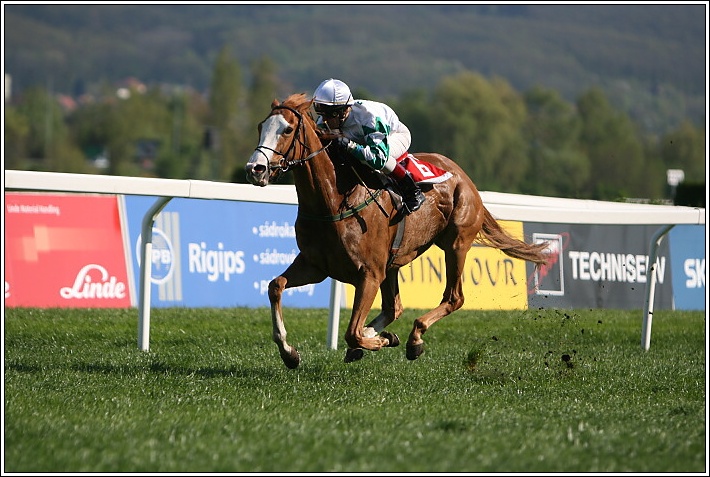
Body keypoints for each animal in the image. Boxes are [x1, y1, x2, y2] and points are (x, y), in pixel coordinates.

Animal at [245, 93, 549, 369]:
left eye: (287, 129)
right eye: (260, 126)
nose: (255, 169)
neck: (332, 201)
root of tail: (463, 176)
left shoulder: (368, 273)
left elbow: (351, 332)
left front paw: (379, 341)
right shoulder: (315, 265)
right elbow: (275, 286)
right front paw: (289, 353)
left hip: (456, 244)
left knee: (453, 298)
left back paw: (414, 338)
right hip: (392, 262)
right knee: (395, 307)